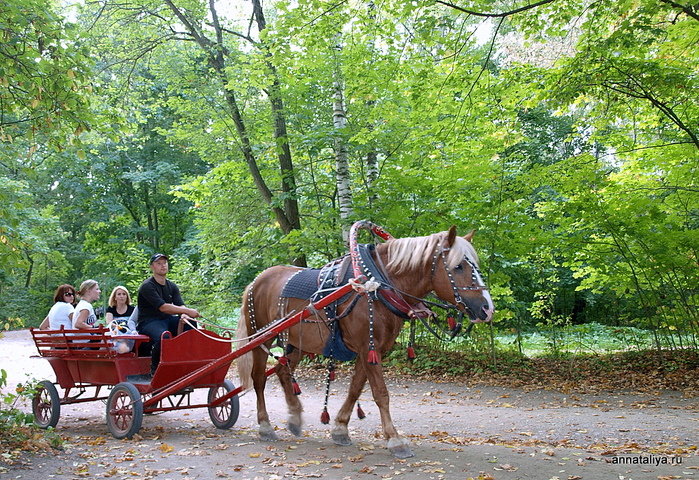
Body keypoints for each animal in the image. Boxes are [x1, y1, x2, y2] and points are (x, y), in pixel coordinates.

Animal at [238, 225, 494, 458]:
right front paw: (395, 439)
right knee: (259, 379)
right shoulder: (367, 348)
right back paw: (265, 426)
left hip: (298, 342)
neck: (377, 286)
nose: (487, 308)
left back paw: (294, 417)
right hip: (261, 337)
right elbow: (381, 393)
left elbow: (355, 389)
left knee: (283, 372)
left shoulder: (370, 349)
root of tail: (256, 281)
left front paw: (340, 428)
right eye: (458, 266)